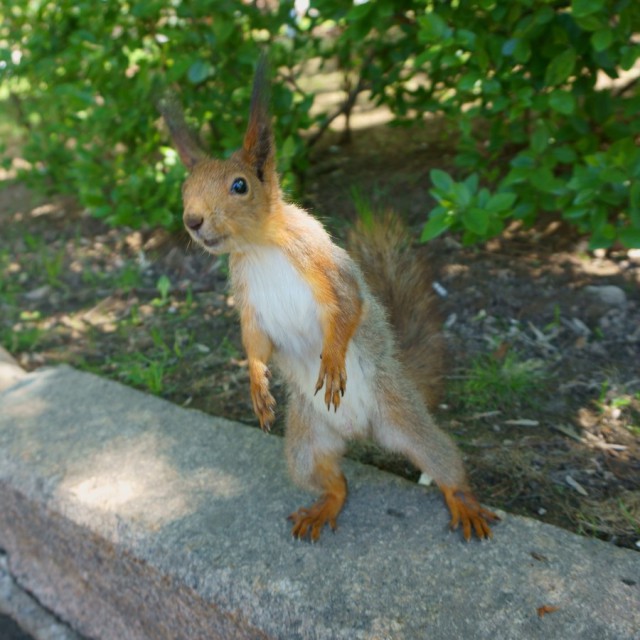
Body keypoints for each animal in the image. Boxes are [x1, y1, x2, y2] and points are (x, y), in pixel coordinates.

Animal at [158, 57, 498, 544]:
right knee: (334, 482)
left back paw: (464, 502)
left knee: (444, 463)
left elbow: (349, 306)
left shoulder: (324, 263)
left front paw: (333, 359)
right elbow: (253, 339)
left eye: (240, 186)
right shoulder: (247, 298)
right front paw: (256, 382)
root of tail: (359, 434)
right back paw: (324, 505)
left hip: (405, 420)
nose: (192, 220)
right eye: (185, 190)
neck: (259, 247)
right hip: (304, 443)